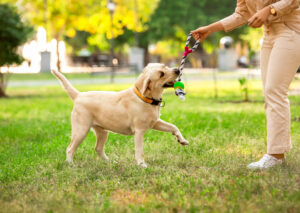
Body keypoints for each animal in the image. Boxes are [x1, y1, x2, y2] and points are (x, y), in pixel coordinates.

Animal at [51, 63, 188, 168]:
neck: (144, 98)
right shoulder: (139, 131)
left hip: (102, 131)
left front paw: (182, 140)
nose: (177, 70)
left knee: (98, 148)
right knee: (70, 148)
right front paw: (141, 164)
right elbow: (140, 150)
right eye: (161, 74)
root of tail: (78, 95)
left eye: (165, 66)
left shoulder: (155, 122)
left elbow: (173, 126)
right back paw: (70, 164)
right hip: (81, 130)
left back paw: (110, 162)